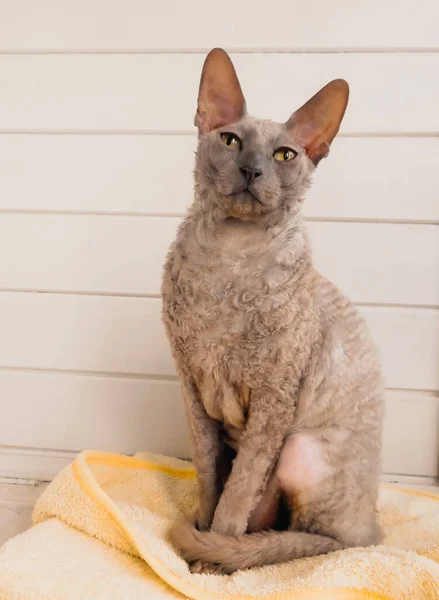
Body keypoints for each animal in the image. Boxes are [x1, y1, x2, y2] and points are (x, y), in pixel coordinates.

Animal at [162, 49, 384, 576]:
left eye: (285, 155)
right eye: (230, 140)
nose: (251, 170)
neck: (228, 260)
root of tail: (373, 526)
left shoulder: (273, 400)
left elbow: (237, 493)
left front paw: (207, 561)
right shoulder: (192, 385)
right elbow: (209, 476)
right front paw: (200, 539)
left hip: (300, 445)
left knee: (324, 537)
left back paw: (255, 550)